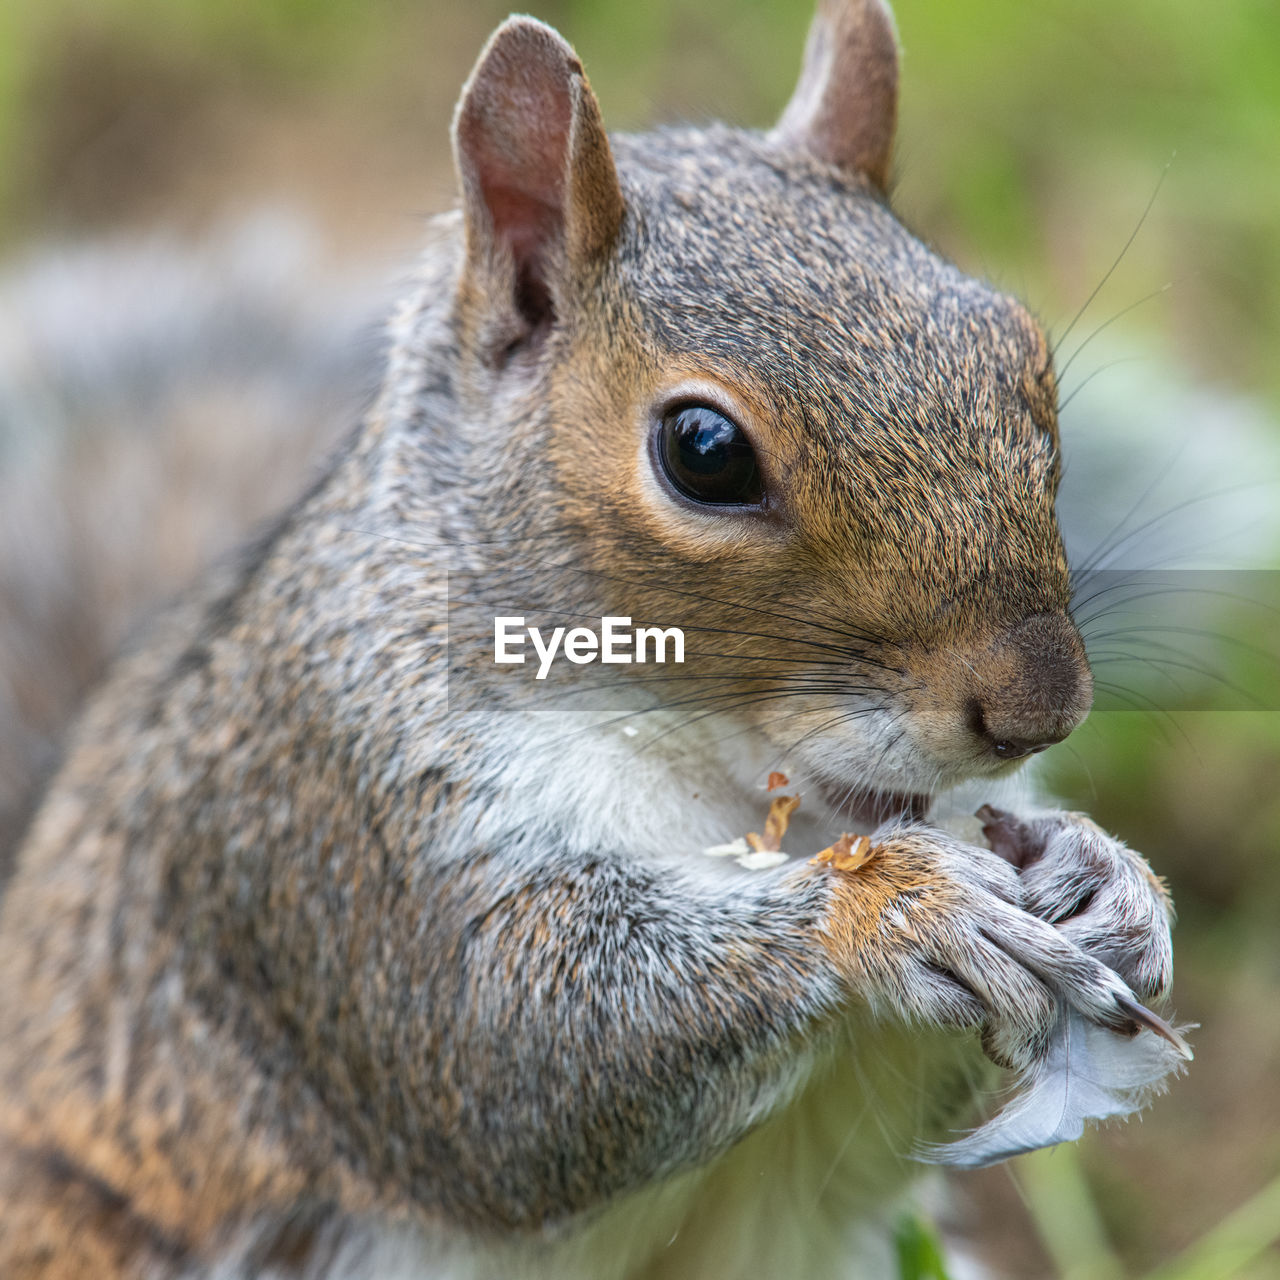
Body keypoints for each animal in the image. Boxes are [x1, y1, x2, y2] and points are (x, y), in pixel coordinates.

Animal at [0, 2, 1182, 1280]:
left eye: (1020, 353)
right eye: (703, 451)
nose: (1037, 707)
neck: (726, 781)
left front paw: (1105, 875)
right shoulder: (335, 826)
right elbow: (516, 1056)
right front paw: (897, 908)